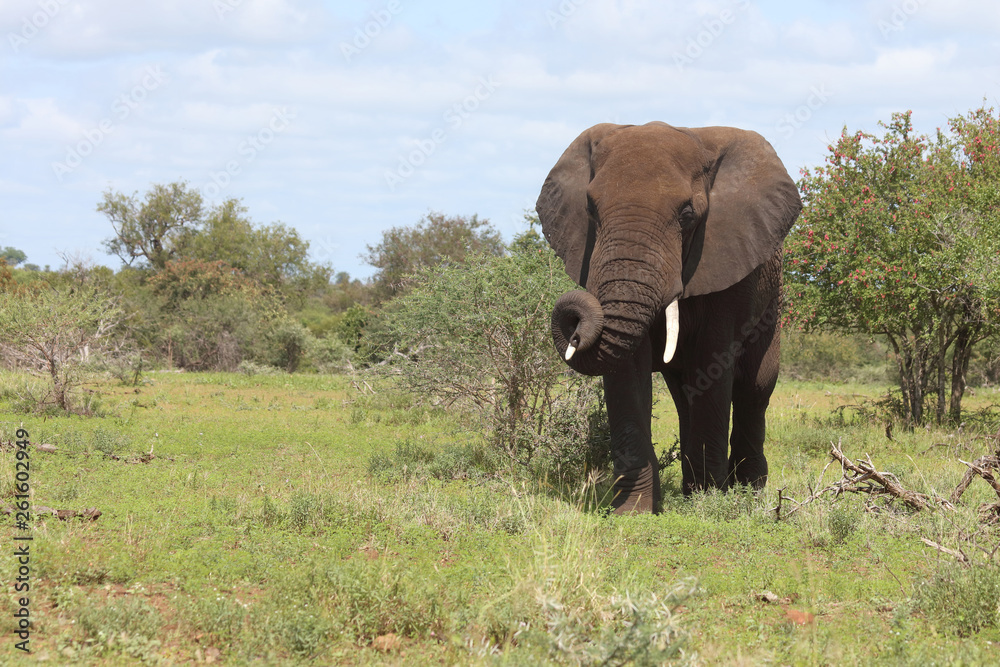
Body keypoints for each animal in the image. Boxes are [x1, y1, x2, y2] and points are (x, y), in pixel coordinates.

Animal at [536, 121, 802, 513]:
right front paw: (634, 511)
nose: (575, 325)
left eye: (687, 215)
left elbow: (713, 359)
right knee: (685, 392)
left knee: (755, 388)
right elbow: (628, 371)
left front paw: (708, 506)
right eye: (590, 209)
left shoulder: (728, 260)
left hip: (771, 302)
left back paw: (746, 492)